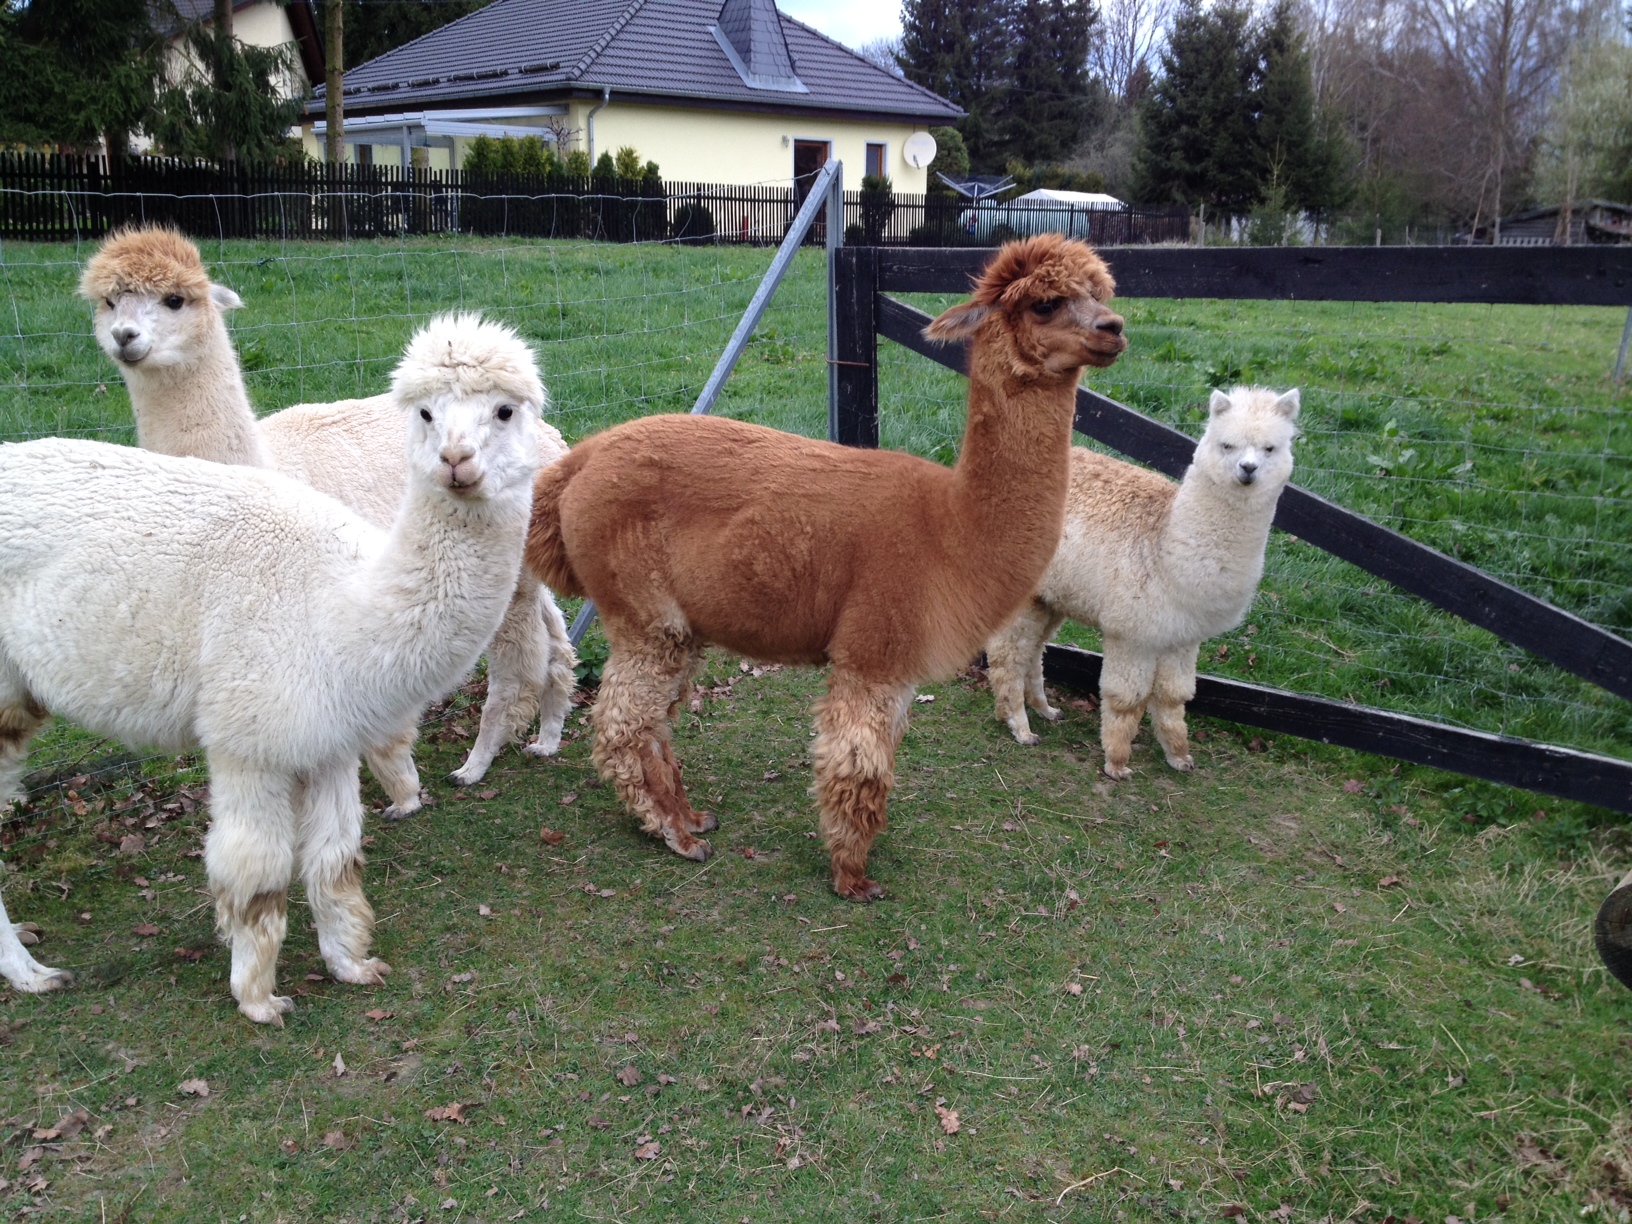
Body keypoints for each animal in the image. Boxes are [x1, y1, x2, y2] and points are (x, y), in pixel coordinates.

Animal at [0, 313, 544, 1022]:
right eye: (425, 413)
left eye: (505, 410)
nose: (456, 461)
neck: (338, 608)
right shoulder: (248, 739)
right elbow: (255, 874)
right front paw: (258, 998)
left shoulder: (327, 739)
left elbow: (335, 861)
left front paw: (352, 965)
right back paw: (33, 973)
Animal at [78, 227, 576, 807]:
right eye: (108, 302)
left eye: (175, 300)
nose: (125, 337)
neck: (266, 461)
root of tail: (553, 437)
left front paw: (401, 789)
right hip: (526, 568)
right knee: (556, 639)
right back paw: (548, 736)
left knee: (517, 661)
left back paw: (477, 762)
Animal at [526, 235, 1127, 900]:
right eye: (1046, 304)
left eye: (1100, 294)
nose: (1114, 329)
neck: (948, 527)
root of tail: (577, 462)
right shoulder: (872, 650)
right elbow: (857, 764)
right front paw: (852, 877)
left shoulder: (900, 667)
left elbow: (876, 760)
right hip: (644, 611)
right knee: (622, 724)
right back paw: (675, 835)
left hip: (674, 626)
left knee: (651, 721)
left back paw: (690, 816)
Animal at [985, 386, 1300, 777]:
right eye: (1227, 445)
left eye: (1271, 448)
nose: (1248, 469)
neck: (1166, 548)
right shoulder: (1133, 633)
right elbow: (1126, 698)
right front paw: (1117, 762)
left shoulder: (1183, 637)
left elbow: (1173, 696)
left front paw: (1179, 755)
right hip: (1024, 584)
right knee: (1007, 654)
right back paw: (1020, 725)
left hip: (1052, 594)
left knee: (1034, 650)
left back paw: (1044, 710)